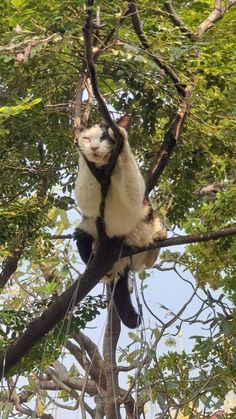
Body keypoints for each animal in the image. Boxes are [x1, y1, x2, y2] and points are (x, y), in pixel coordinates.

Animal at [74, 116, 166, 330]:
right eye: (87, 138)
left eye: (104, 137)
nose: (94, 147)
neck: (105, 172)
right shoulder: (88, 192)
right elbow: (87, 193)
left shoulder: (136, 194)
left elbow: (131, 188)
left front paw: (121, 135)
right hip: (84, 230)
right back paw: (99, 252)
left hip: (146, 225)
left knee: (147, 262)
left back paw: (159, 237)